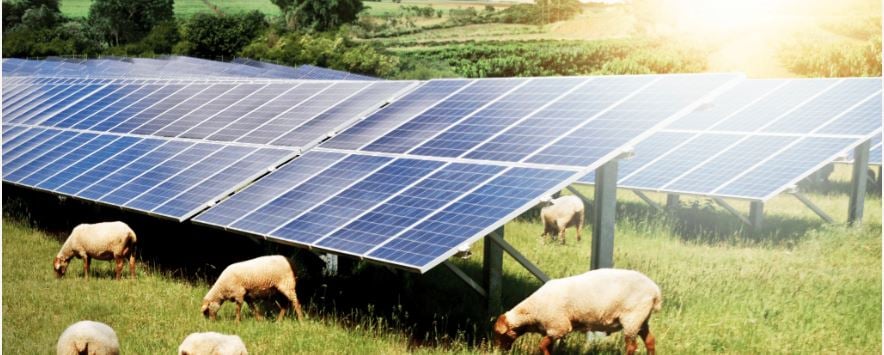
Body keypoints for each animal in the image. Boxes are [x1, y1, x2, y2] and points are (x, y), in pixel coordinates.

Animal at [494, 270, 660, 355]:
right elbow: (547, 346)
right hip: (641, 320)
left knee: (632, 346)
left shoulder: (558, 326)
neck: (531, 312)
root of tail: (656, 292)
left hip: (632, 317)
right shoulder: (554, 331)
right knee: (650, 341)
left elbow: (542, 345)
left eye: (499, 333)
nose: (496, 350)